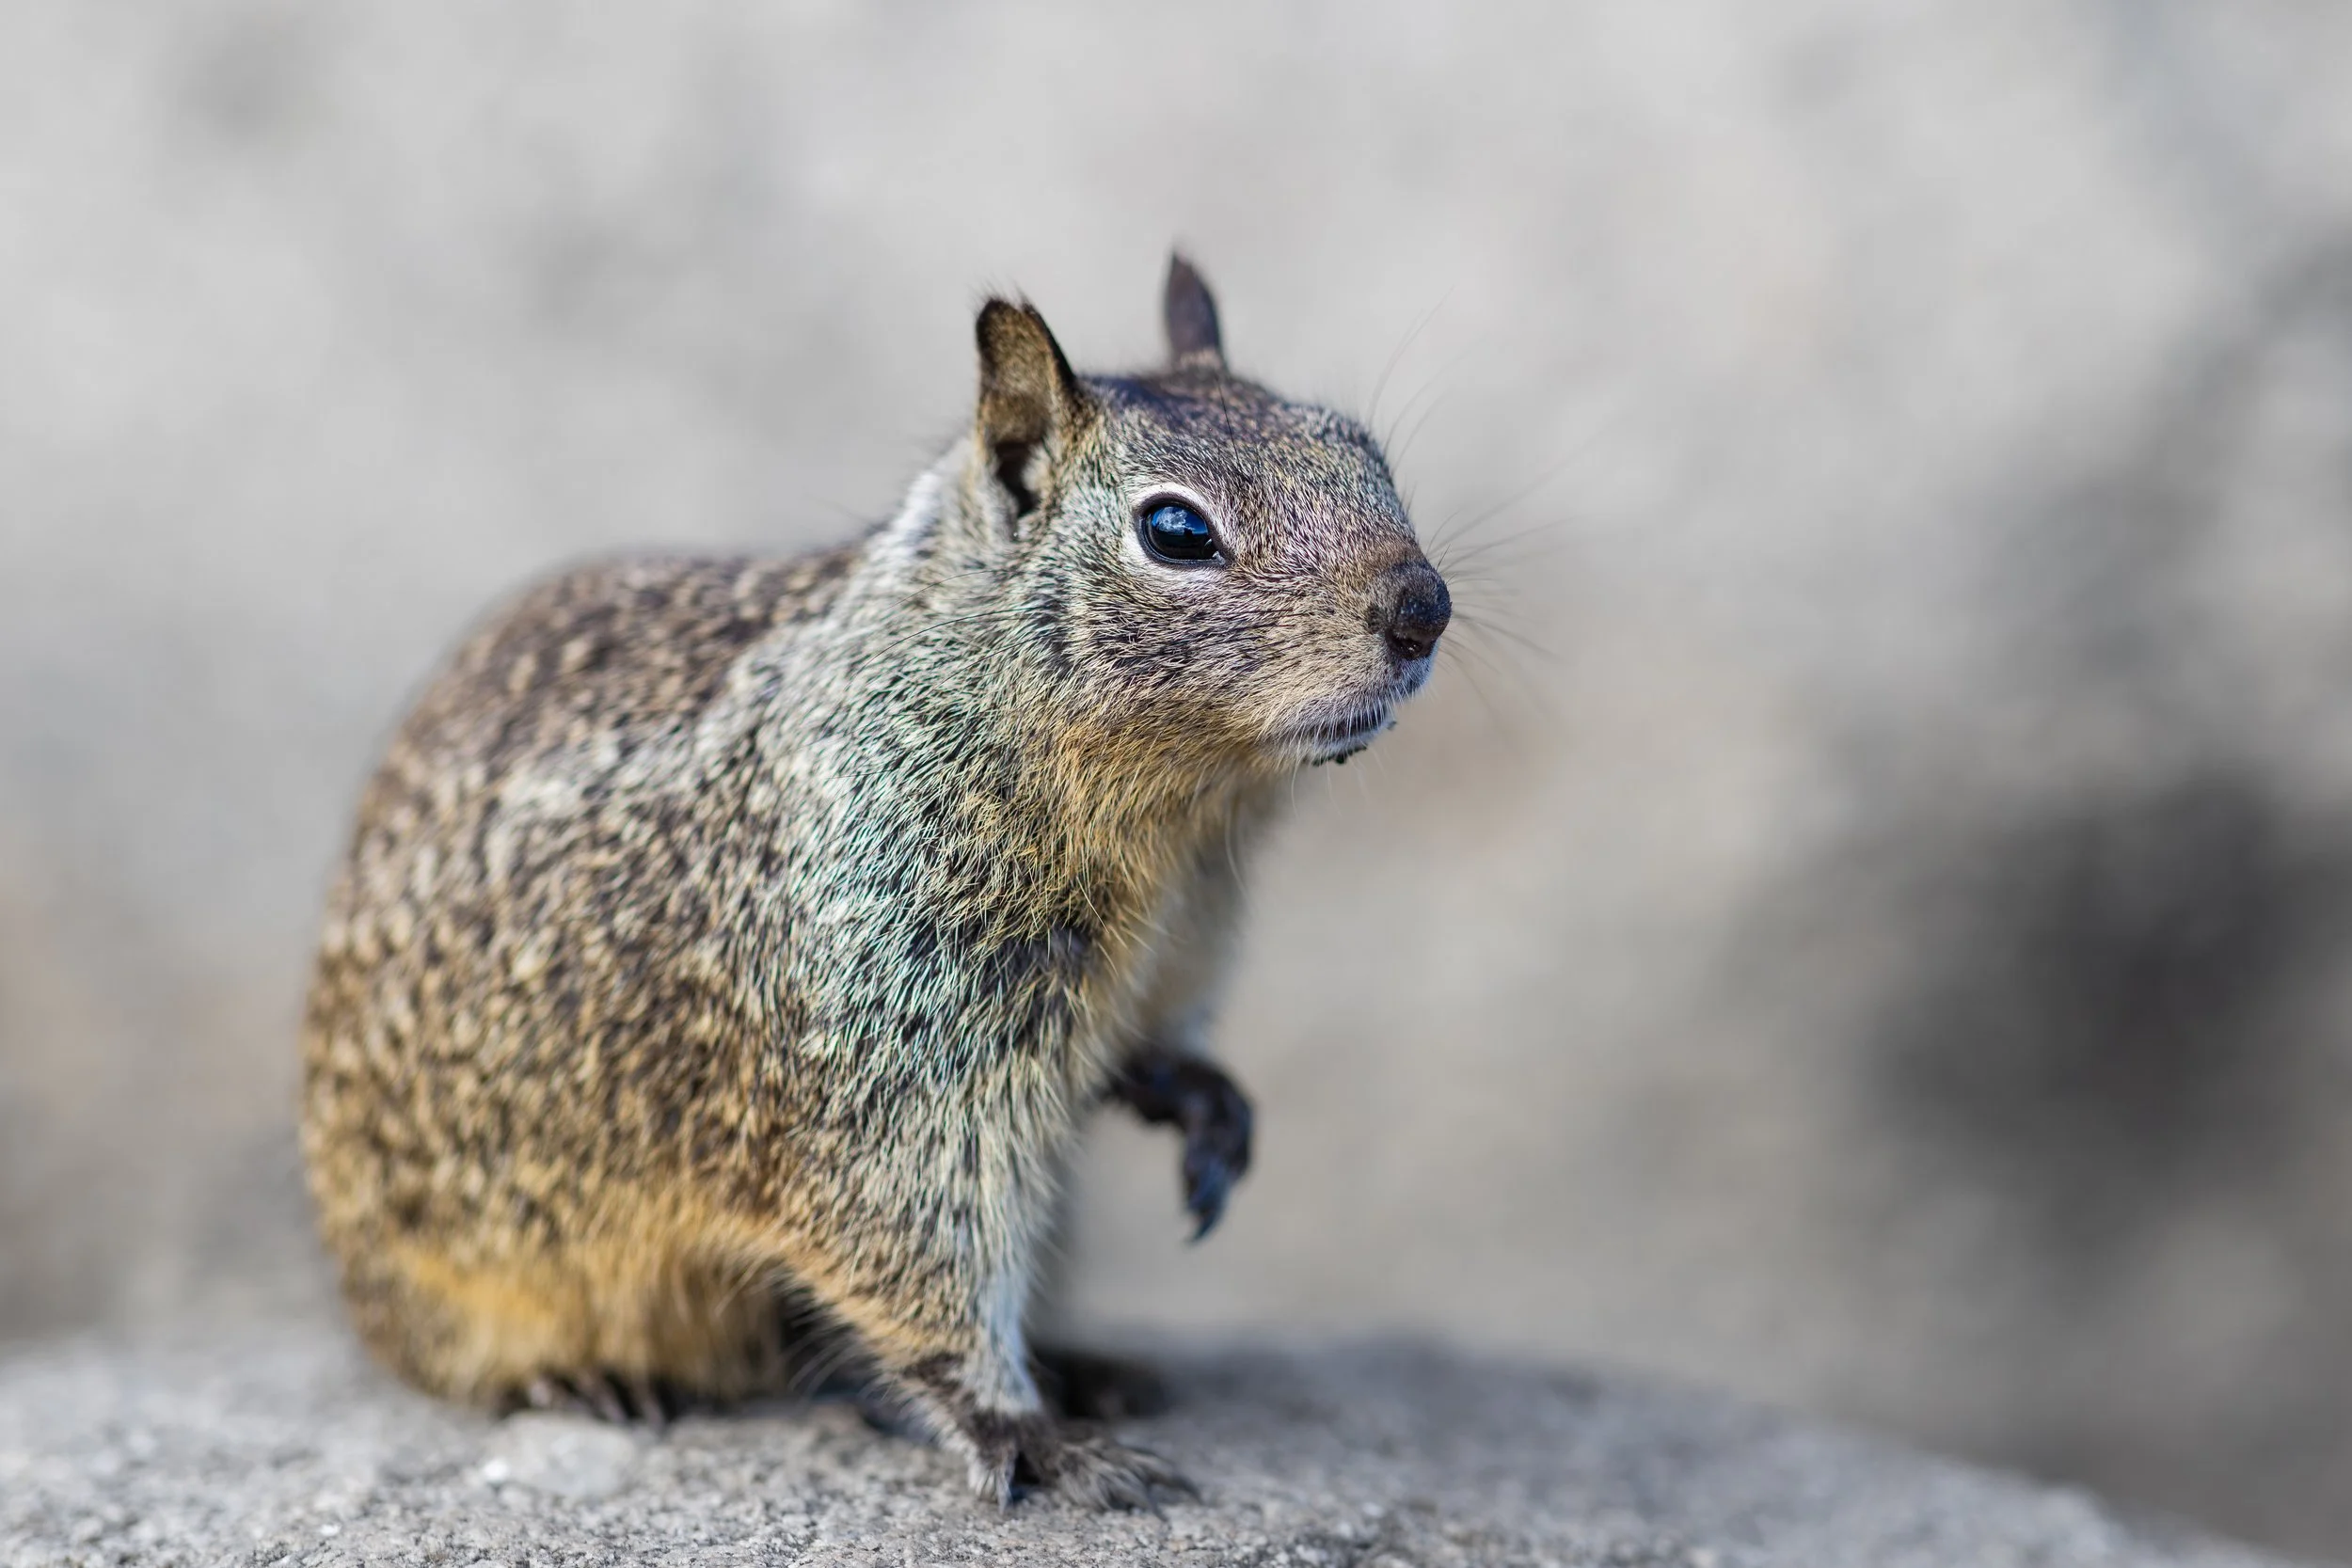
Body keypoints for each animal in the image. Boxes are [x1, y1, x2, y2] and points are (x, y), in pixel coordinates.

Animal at [299, 254, 1452, 1508]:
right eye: (1177, 529)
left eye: (1362, 449)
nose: (1423, 606)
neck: (1178, 833)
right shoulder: (894, 1065)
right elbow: (920, 1256)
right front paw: (1025, 1431)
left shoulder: (1171, 955)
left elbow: (1148, 1058)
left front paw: (1203, 1104)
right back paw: (584, 1379)